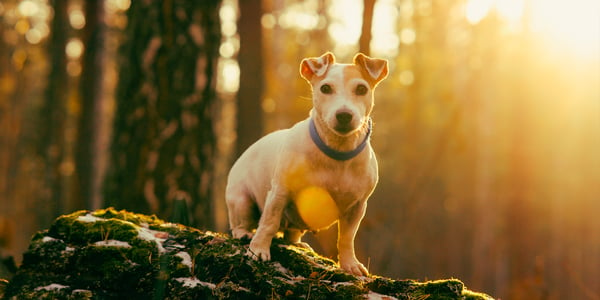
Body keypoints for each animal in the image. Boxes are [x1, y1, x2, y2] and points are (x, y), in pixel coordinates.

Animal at [226, 52, 390, 276]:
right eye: (325, 88)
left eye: (361, 89)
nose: (344, 115)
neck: (336, 153)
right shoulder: (280, 193)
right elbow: (268, 223)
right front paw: (258, 250)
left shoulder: (357, 207)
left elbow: (346, 238)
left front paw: (350, 263)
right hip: (242, 201)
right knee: (242, 224)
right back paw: (245, 234)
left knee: (291, 234)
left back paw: (297, 243)